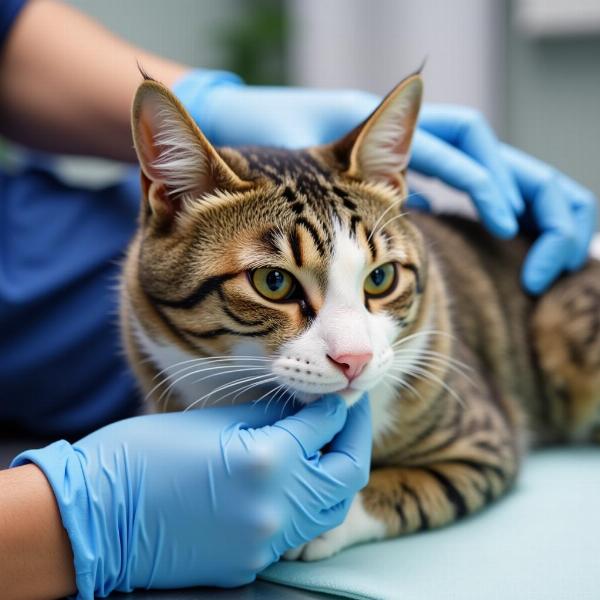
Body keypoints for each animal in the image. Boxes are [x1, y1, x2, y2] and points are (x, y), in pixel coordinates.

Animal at [120, 71, 600, 564]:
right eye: (274, 282)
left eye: (381, 277)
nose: (356, 359)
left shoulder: (482, 440)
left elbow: (403, 485)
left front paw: (313, 515)